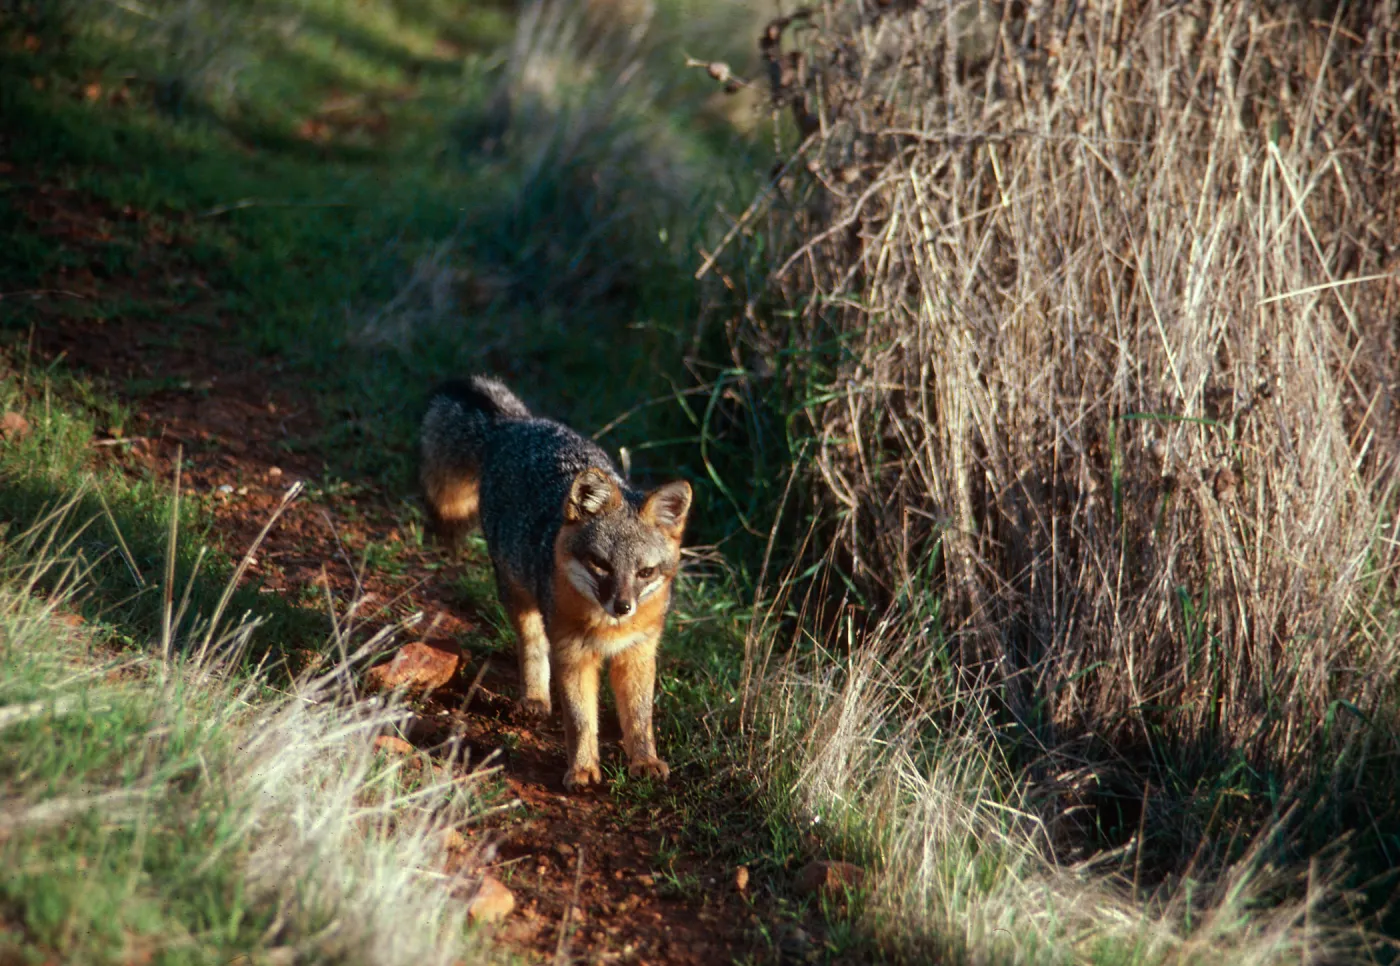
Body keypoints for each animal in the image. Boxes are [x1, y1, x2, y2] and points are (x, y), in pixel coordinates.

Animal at [419, 375, 692, 791]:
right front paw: (582, 768)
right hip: (517, 590)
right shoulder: (572, 654)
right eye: (600, 564)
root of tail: (517, 424)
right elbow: (580, 720)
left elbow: (640, 717)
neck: (607, 628)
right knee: (531, 644)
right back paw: (535, 697)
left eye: (645, 572)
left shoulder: (638, 653)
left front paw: (645, 760)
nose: (623, 606)